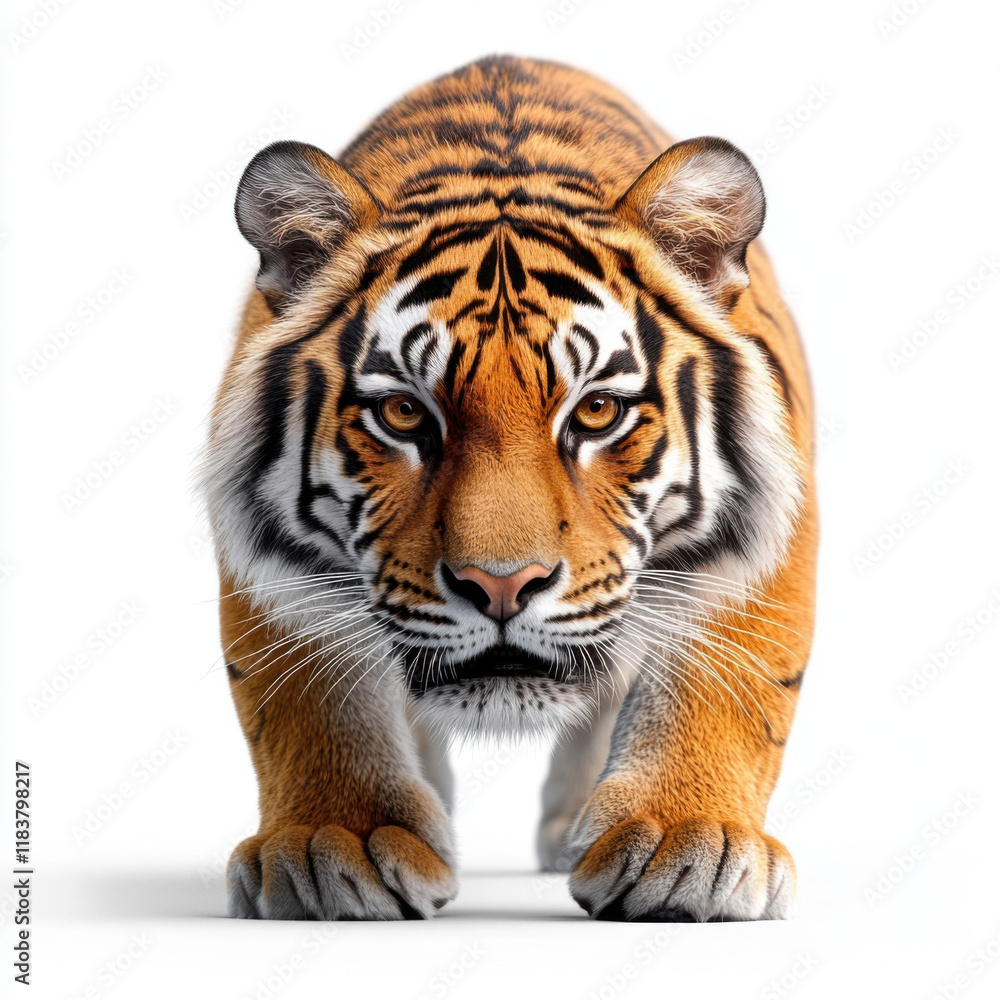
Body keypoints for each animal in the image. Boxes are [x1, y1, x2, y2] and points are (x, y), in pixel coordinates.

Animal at [201, 54, 817, 923]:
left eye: (596, 410)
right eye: (402, 412)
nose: (500, 585)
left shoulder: (767, 532)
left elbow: (729, 677)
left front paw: (685, 840)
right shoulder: (273, 561)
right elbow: (308, 695)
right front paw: (335, 841)